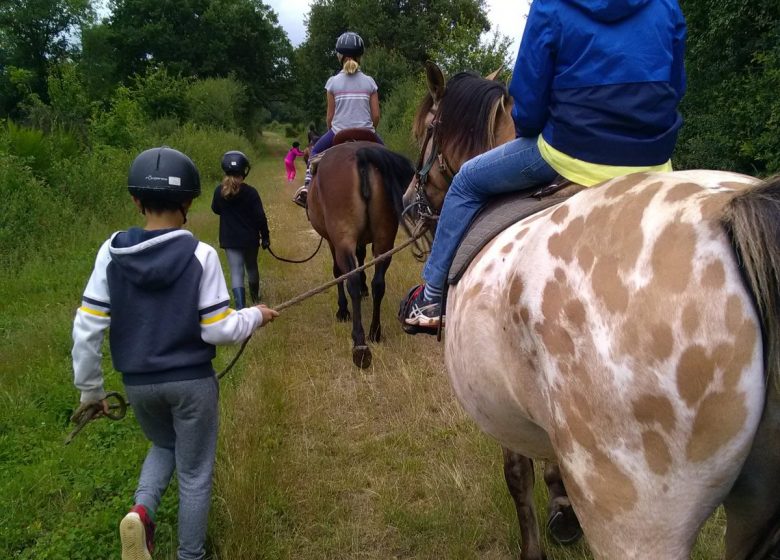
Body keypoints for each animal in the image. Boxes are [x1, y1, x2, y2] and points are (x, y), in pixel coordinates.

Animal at [306, 131, 418, 368]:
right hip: (385, 239)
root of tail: (361, 154)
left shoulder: (333, 241)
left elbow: (338, 273)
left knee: (351, 280)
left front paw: (342, 310)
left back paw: (359, 342)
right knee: (379, 283)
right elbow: (362, 258)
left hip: (343, 238)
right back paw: (375, 331)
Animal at [402, 62, 780, 560]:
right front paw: (562, 513)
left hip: (635, 523)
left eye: (423, 131)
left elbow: (518, 480)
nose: (407, 205)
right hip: (752, 520)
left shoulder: (500, 413)